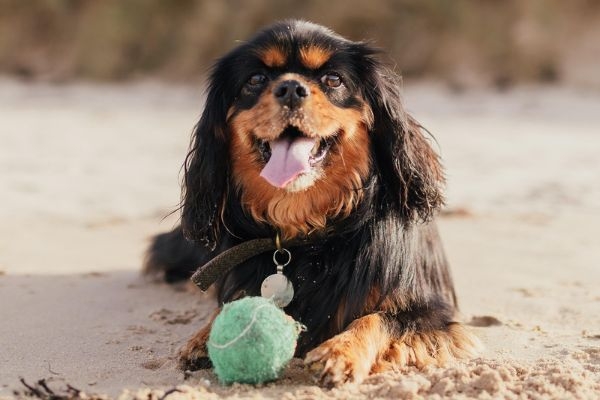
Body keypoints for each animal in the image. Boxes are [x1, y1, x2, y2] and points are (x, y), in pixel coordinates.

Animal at [144, 18, 478, 384]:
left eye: (333, 79)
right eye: (256, 80)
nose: (291, 89)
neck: (307, 232)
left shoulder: (434, 313)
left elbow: (377, 318)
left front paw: (340, 351)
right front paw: (206, 336)